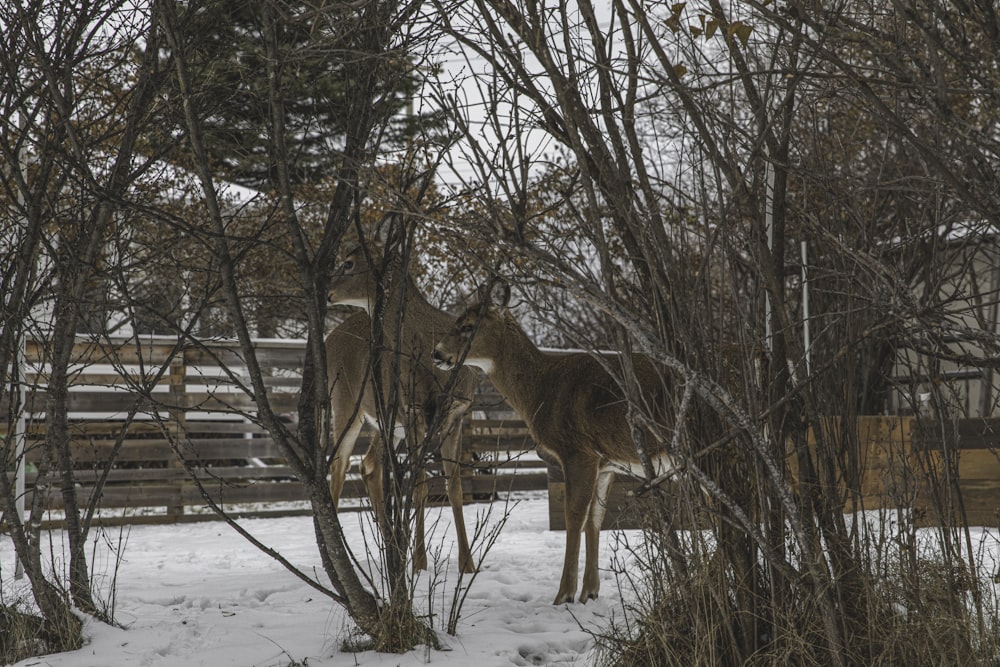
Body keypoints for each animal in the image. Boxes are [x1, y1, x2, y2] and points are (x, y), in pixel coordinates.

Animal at [322, 243, 474, 572]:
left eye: (348, 263)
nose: (327, 292)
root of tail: (328, 339)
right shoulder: (414, 413)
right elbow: (420, 486)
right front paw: (419, 562)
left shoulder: (456, 416)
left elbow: (454, 488)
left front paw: (467, 564)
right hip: (346, 402)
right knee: (339, 465)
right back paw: (341, 554)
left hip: (387, 421)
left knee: (368, 465)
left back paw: (391, 544)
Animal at [432, 280, 680, 604]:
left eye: (468, 326)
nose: (436, 353)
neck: (541, 390)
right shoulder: (606, 463)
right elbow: (595, 517)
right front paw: (590, 592)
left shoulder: (577, 450)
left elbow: (574, 516)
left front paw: (564, 594)